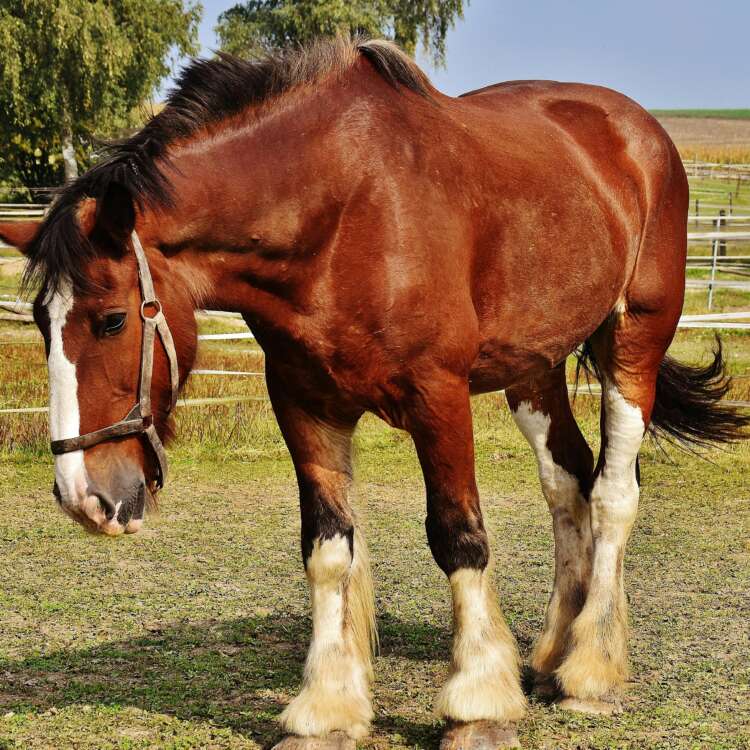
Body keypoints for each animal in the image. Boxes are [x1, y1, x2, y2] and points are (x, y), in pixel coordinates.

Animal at [1, 37, 747, 750]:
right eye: (39, 320)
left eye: (112, 319)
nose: (83, 497)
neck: (340, 213)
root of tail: (638, 132)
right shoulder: (305, 403)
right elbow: (329, 551)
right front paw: (327, 708)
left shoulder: (438, 397)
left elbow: (459, 538)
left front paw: (477, 705)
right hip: (532, 368)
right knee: (567, 483)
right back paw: (550, 656)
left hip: (634, 342)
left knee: (614, 492)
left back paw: (591, 670)